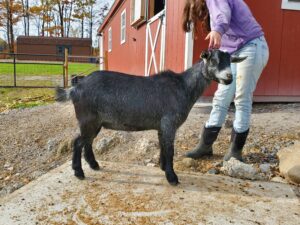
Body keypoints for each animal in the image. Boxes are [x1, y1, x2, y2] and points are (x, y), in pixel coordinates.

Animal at [56, 49, 246, 185]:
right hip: (87, 119)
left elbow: (163, 146)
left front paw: (163, 168)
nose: (229, 77)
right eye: (213, 60)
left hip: (95, 122)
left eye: (230, 61)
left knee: (86, 142)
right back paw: (79, 172)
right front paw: (172, 177)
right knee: (78, 142)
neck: (183, 87)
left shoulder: (162, 126)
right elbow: (170, 149)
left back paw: (94, 165)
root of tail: (75, 89)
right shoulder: (169, 123)